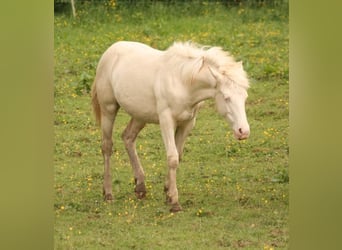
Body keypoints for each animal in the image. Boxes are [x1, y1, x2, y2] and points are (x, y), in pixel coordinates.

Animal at [92, 40, 250, 211]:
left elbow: (178, 155)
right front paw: (174, 201)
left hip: (140, 115)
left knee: (128, 138)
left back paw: (140, 186)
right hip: (108, 109)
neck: (182, 82)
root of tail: (111, 50)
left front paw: (168, 192)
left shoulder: (187, 123)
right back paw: (108, 193)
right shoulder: (166, 120)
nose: (243, 131)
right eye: (227, 98)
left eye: (245, 96)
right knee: (107, 147)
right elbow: (172, 157)